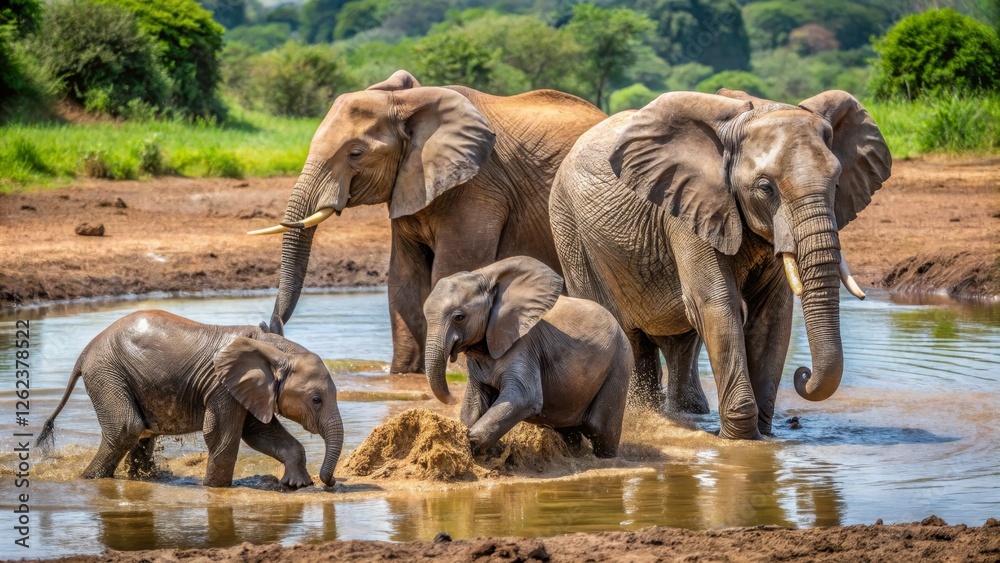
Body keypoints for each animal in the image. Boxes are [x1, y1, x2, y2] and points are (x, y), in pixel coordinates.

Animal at [36, 310, 344, 488]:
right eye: (316, 399)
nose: (329, 482)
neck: (276, 348)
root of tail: (85, 352)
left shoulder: (248, 388)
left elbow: (259, 432)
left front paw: (297, 485)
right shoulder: (222, 385)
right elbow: (223, 436)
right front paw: (214, 489)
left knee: (142, 435)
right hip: (107, 373)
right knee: (126, 427)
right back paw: (87, 480)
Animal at [249, 69, 607, 375]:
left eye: (356, 153)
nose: (270, 328)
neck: (408, 103)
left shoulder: (479, 186)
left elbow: (450, 272)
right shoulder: (408, 185)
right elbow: (405, 282)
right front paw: (405, 375)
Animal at [422, 256, 633, 457]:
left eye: (459, 317)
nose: (451, 398)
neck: (485, 276)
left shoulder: (524, 344)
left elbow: (524, 397)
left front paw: (473, 444)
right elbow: (473, 403)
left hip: (620, 363)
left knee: (601, 430)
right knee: (570, 431)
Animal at [549, 89, 891, 440]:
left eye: (836, 184)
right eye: (765, 187)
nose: (803, 374)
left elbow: (771, 316)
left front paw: (764, 434)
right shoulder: (686, 207)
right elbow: (716, 303)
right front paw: (740, 439)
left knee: (679, 342)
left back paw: (683, 412)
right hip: (569, 231)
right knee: (625, 329)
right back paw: (646, 413)